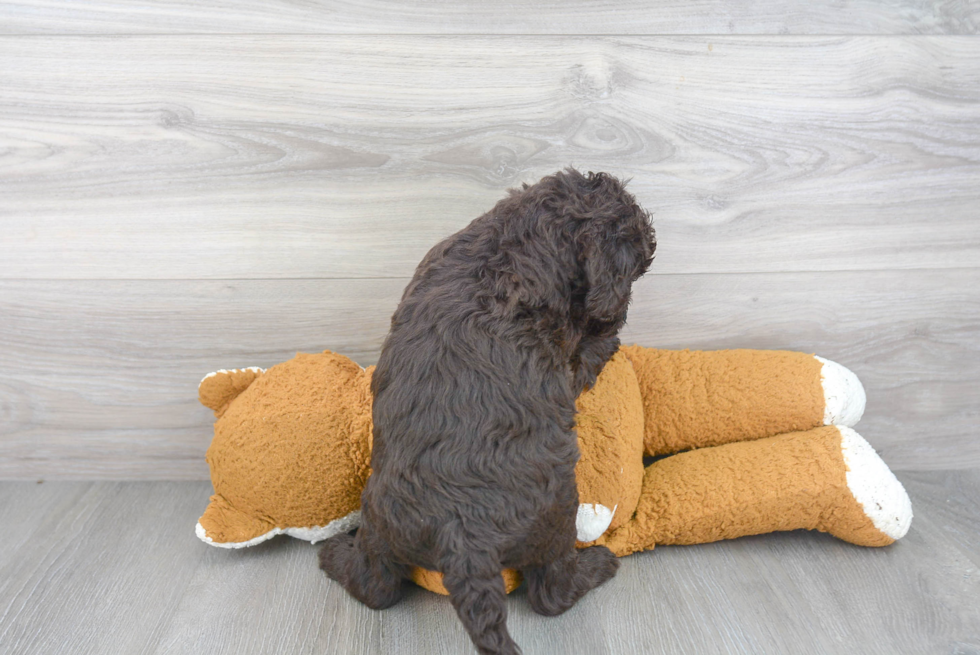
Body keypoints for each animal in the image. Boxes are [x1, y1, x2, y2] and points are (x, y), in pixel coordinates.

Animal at [322, 170, 656, 655]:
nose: (619, 311)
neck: (513, 244)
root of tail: (462, 540)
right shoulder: (567, 362)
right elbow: (588, 355)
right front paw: (608, 339)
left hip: (383, 524)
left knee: (375, 586)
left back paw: (333, 553)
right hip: (556, 516)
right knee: (551, 592)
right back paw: (598, 565)